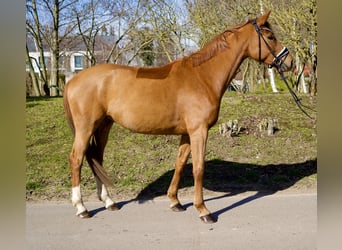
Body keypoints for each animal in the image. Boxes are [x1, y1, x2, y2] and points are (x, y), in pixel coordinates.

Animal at [63, 10, 292, 224]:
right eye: (270, 36)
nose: (289, 62)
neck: (202, 77)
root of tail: (73, 80)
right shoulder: (199, 131)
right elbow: (199, 168)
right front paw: (203, 210)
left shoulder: (187, 133)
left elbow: (180, 164)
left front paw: (175, 202)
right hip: (86, 128)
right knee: (77, 159)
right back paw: (81, 207)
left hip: (103, 126)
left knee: (96, 157)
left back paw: (109, 201)